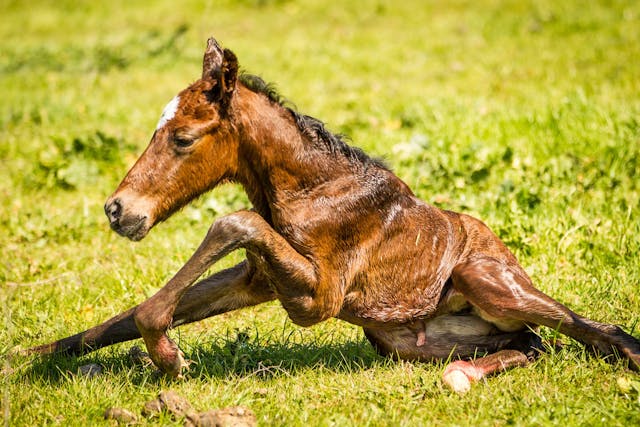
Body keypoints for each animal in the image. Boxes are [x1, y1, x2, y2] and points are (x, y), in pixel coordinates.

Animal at [28, 37, 640, 393]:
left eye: (181, 138)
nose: (117, 211)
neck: (316, 189)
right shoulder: (257, 279)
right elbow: (123, 318)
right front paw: (26, 360)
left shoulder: (318, 297)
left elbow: (233, 222)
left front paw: (169, 358)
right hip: (401, 339)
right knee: (531, 345)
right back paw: (462, 373)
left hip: (488, 281)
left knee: (593, 332)